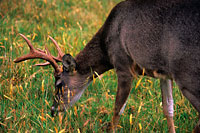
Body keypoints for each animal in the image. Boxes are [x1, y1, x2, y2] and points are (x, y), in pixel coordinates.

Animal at [14, 0, 200, 132]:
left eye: (59, 84)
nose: (53, 109)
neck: (106, 42)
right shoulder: (163, 73)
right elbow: (168, 109)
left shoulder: (123, 65)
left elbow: (117, 110)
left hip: (186, 74)